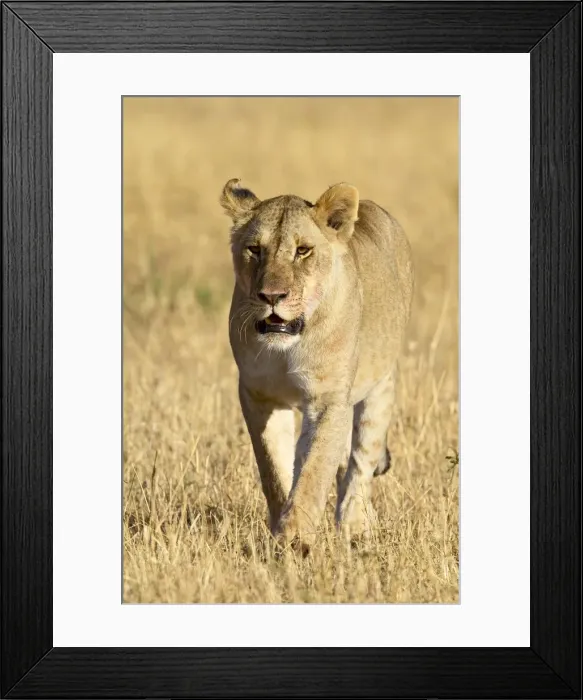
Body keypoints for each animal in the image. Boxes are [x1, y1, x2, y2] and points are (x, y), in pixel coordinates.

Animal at [221, 178, 413, 549]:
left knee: (360, 462)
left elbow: (314, 471)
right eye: (254, 249)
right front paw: (282, 528)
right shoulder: (259, 396)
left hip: (380, 386)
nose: (272, 296)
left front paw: (294, 538)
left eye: (303, 251)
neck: (287, 346)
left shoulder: (328, 399)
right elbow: (274, 469)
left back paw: (356, 526)